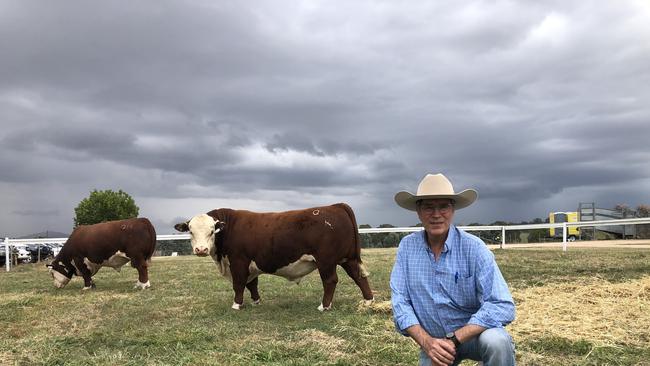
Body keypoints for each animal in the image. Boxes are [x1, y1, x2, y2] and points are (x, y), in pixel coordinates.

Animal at [173, 204, 374, 310]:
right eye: (190, 231)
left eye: (211, 231)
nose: (201, 249)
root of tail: (336, 206)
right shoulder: (250, 265)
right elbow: (252, 284)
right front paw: (256, 301)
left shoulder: (239, 262)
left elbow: (239, 284)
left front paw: (237, 305)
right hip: (348, 259)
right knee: (359, 277)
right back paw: (368, 301)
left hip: (326, 261)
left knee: (330, 281)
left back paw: (324, 306)